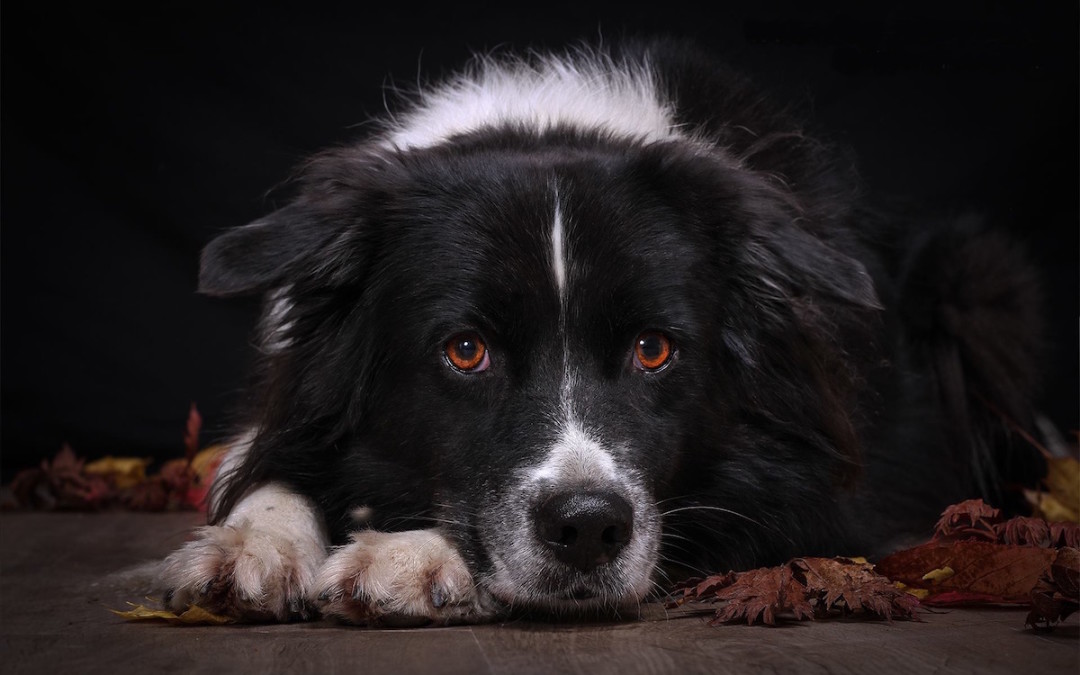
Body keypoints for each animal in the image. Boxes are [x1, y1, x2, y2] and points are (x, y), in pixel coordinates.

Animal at [156, 36, 1041, 622]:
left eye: (654, 350)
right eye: (465, 351)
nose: (587, 529)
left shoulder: (813, 487)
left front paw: (408, 552)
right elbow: (265, 466)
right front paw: (251, 544)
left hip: (971, 281)